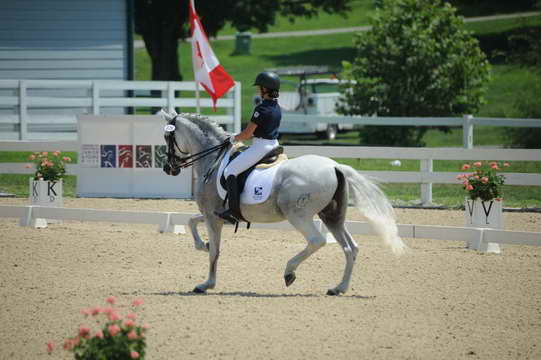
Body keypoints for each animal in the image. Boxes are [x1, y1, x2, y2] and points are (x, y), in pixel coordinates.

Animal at [160, 111, 404, 294]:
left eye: (167, 138)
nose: (168, 168)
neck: (213, 159)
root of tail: (335, 166)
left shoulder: (213, 217)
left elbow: (214, 252)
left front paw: (206, 283)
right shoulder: (216, 215)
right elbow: (191, 222)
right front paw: (203, 245)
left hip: (298, 215)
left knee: (317, 241)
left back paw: (289, 271)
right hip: (332, 216)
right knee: (350, 248)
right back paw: (338, 288)